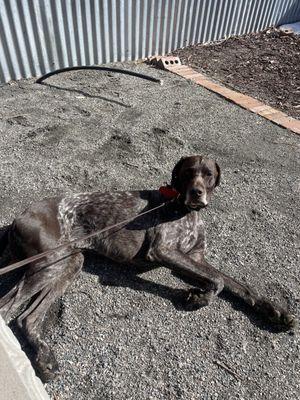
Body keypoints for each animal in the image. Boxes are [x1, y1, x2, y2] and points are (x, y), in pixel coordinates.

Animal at [0, 155, 296, 382]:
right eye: (188, 173)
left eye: (208, 174)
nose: (196, 193)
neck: (183, 209)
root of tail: (18, 218)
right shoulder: (164, 251)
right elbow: (218, 283)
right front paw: (198, 298)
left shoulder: (196, 258)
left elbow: (237, 284)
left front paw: (276, 311)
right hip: (51, 261)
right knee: (7, 308)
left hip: (69, 262)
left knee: (27, 318)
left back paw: (44, 358)